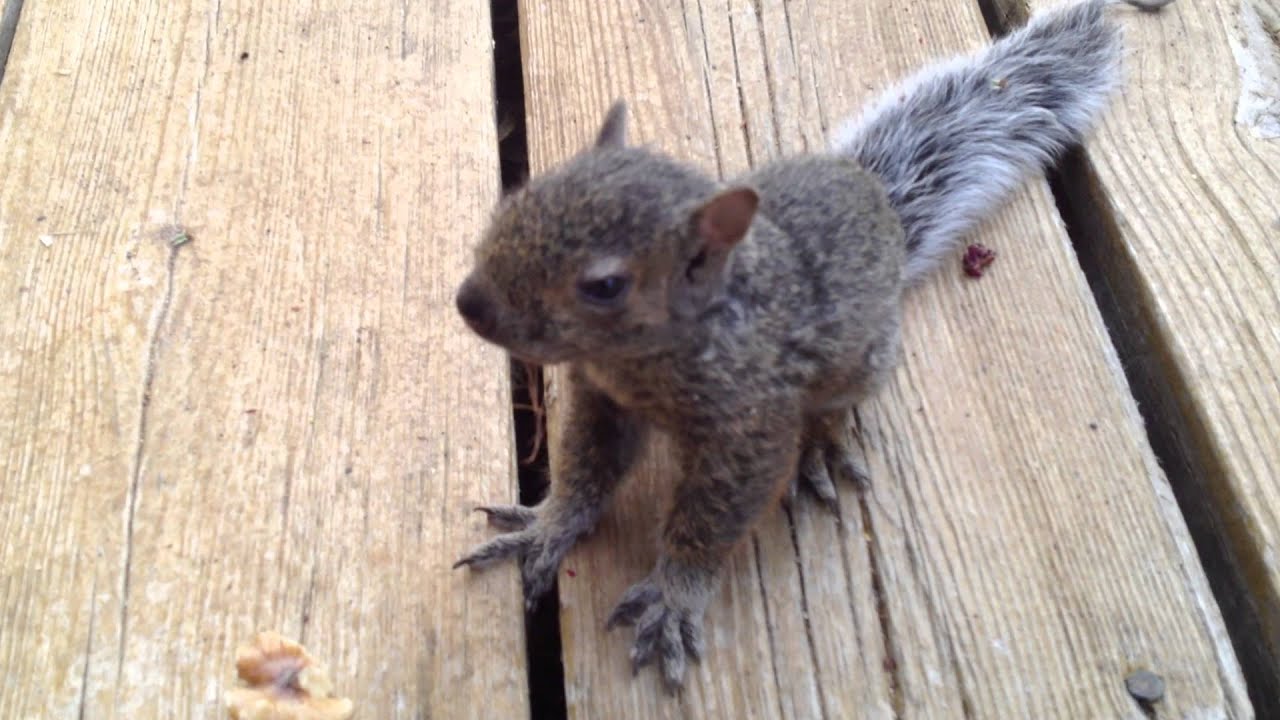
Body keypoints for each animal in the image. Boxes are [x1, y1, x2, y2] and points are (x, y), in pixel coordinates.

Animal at [452, 0, 1174, 692]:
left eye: (605, 286)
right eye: (520, 195)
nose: (470, 304)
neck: (648, 357)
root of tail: (880, 204)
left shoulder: (750, 429)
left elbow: (709, 519)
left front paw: (675, 595)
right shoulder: (602, 399)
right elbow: (585, 470)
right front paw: (549, 526)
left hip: (862, 363)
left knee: (832, 409)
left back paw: (820, 448)